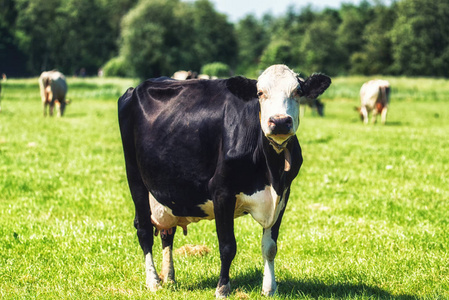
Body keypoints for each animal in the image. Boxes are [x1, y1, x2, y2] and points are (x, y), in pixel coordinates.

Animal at [117, 64, 330, 296]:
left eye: (298, 92)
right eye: (260, 93)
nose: (280, 121)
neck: (271, 170)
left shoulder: (283, 194)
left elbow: (270, 246)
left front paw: (269, 288)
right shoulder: (222, 193)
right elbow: (228, 246)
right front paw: (222, 288)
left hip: (168, 193)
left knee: (167, 233)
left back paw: (170, 278)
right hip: (135, 178)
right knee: (144, 229)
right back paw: (153, 281)